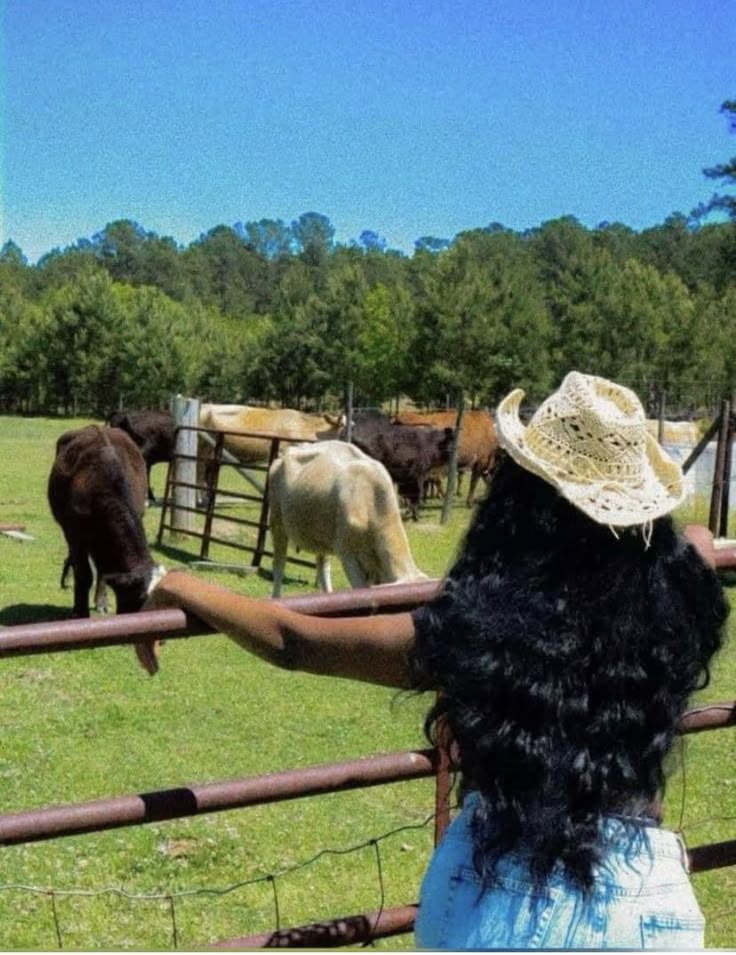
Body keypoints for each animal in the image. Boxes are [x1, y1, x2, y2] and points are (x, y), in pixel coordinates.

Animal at [48, 426, 161, 620]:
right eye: (139, 598)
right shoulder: (75, 534)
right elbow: (83, 574)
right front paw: (80, 613)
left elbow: (103, 571)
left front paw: (100, 603)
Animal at [268, 442, 428, 596]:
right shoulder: (347, 555)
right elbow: (359, 588)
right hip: (278, 524)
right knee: (279, 566)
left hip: (322, 536)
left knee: (322, 567)